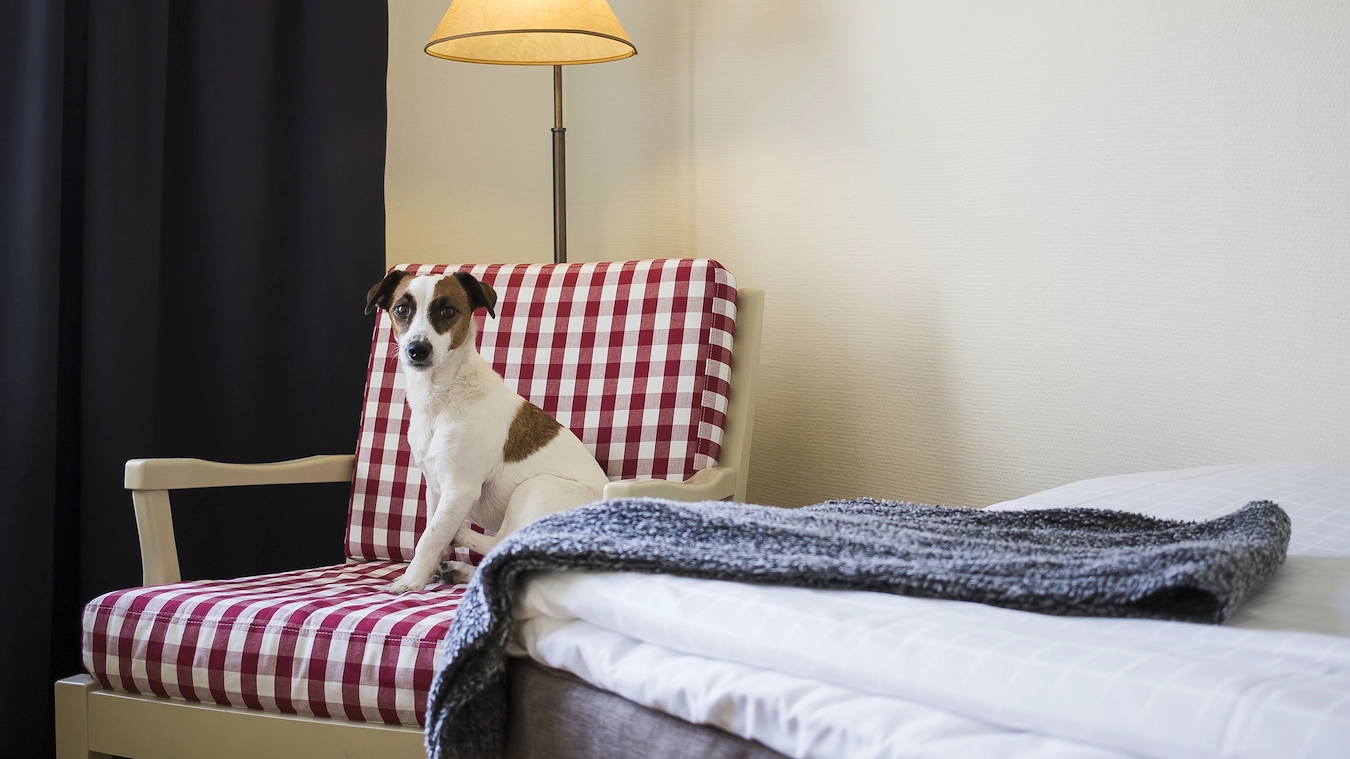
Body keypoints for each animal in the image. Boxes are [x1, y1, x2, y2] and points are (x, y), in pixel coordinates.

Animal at [365, 269, 609, 593]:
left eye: (448, 311)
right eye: (402, 309)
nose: (417, 350)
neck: (442, 398)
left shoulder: (460, 488)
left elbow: (429, 536)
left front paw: (411, 579)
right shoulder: (435, 487)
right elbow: (433, 530)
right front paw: (430, 569)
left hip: (535, 488)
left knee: (504, 540)